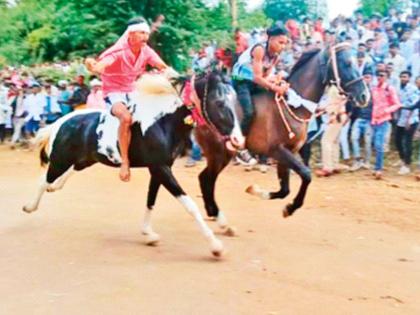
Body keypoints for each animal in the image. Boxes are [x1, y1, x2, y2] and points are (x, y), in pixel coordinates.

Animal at [23, 70, 244, 258]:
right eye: (219, 102)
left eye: (235, 101)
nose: (238, 140)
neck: (163, 122)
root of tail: (60, 122)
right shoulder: (161, 168)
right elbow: (190, 205)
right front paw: (215, 246)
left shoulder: (160, 168)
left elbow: (150, 200)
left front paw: (148, 234)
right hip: (61, 159)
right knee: (43, 180)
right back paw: (29, 206)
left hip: (85, 160)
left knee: (65, 174)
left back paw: (54, 187)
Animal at [195, 43, 370, 233]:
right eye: (347, 63)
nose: (364, 96)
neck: (293, 106)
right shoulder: (277, 150)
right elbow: (306, 174)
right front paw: (290, 207)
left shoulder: (288, 152)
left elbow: (284, 189)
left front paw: (258, 192)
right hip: (219, 153)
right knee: (207, 178)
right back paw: (218, 214)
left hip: (220, 155)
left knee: (205, 178)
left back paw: (214, 213)